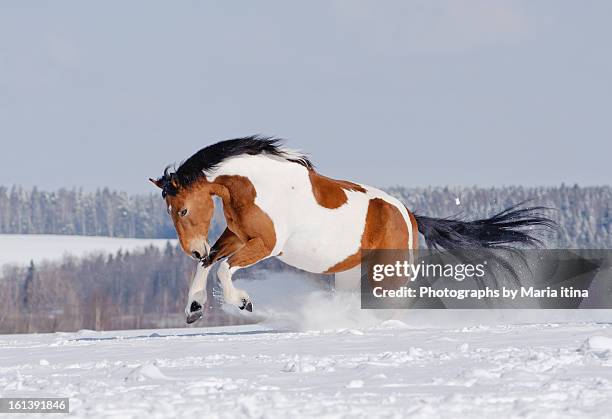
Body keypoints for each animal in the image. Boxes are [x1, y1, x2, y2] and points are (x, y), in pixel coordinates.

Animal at [151, 136, 552, 324]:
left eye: (182, 208)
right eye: (169, 211)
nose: (194, 247)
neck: (257, 185)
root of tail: (409, 216)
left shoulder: (266, 243)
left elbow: (222, 267)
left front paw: (243, 303)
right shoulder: (236, 236)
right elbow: (210, 264)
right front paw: (194, 308)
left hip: (387, 273)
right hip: (350, 274)